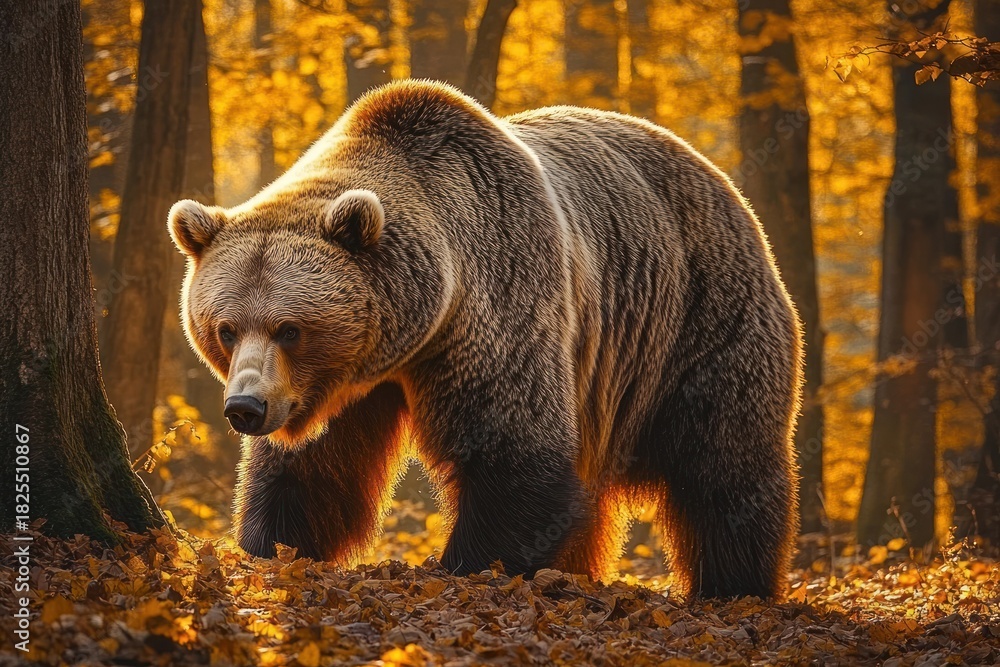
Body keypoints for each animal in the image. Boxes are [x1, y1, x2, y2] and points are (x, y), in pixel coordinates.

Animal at [168, 80, 801, 599]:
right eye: (226, 328)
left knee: (726, 463)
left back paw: (733, 584)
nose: (245, 407)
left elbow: (511, 448)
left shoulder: (502, 300)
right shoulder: (340, 385)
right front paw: (271, 548)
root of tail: (722, 181)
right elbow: (312, 469)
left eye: (290, 328)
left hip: (698, 318)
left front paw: (468, 566)